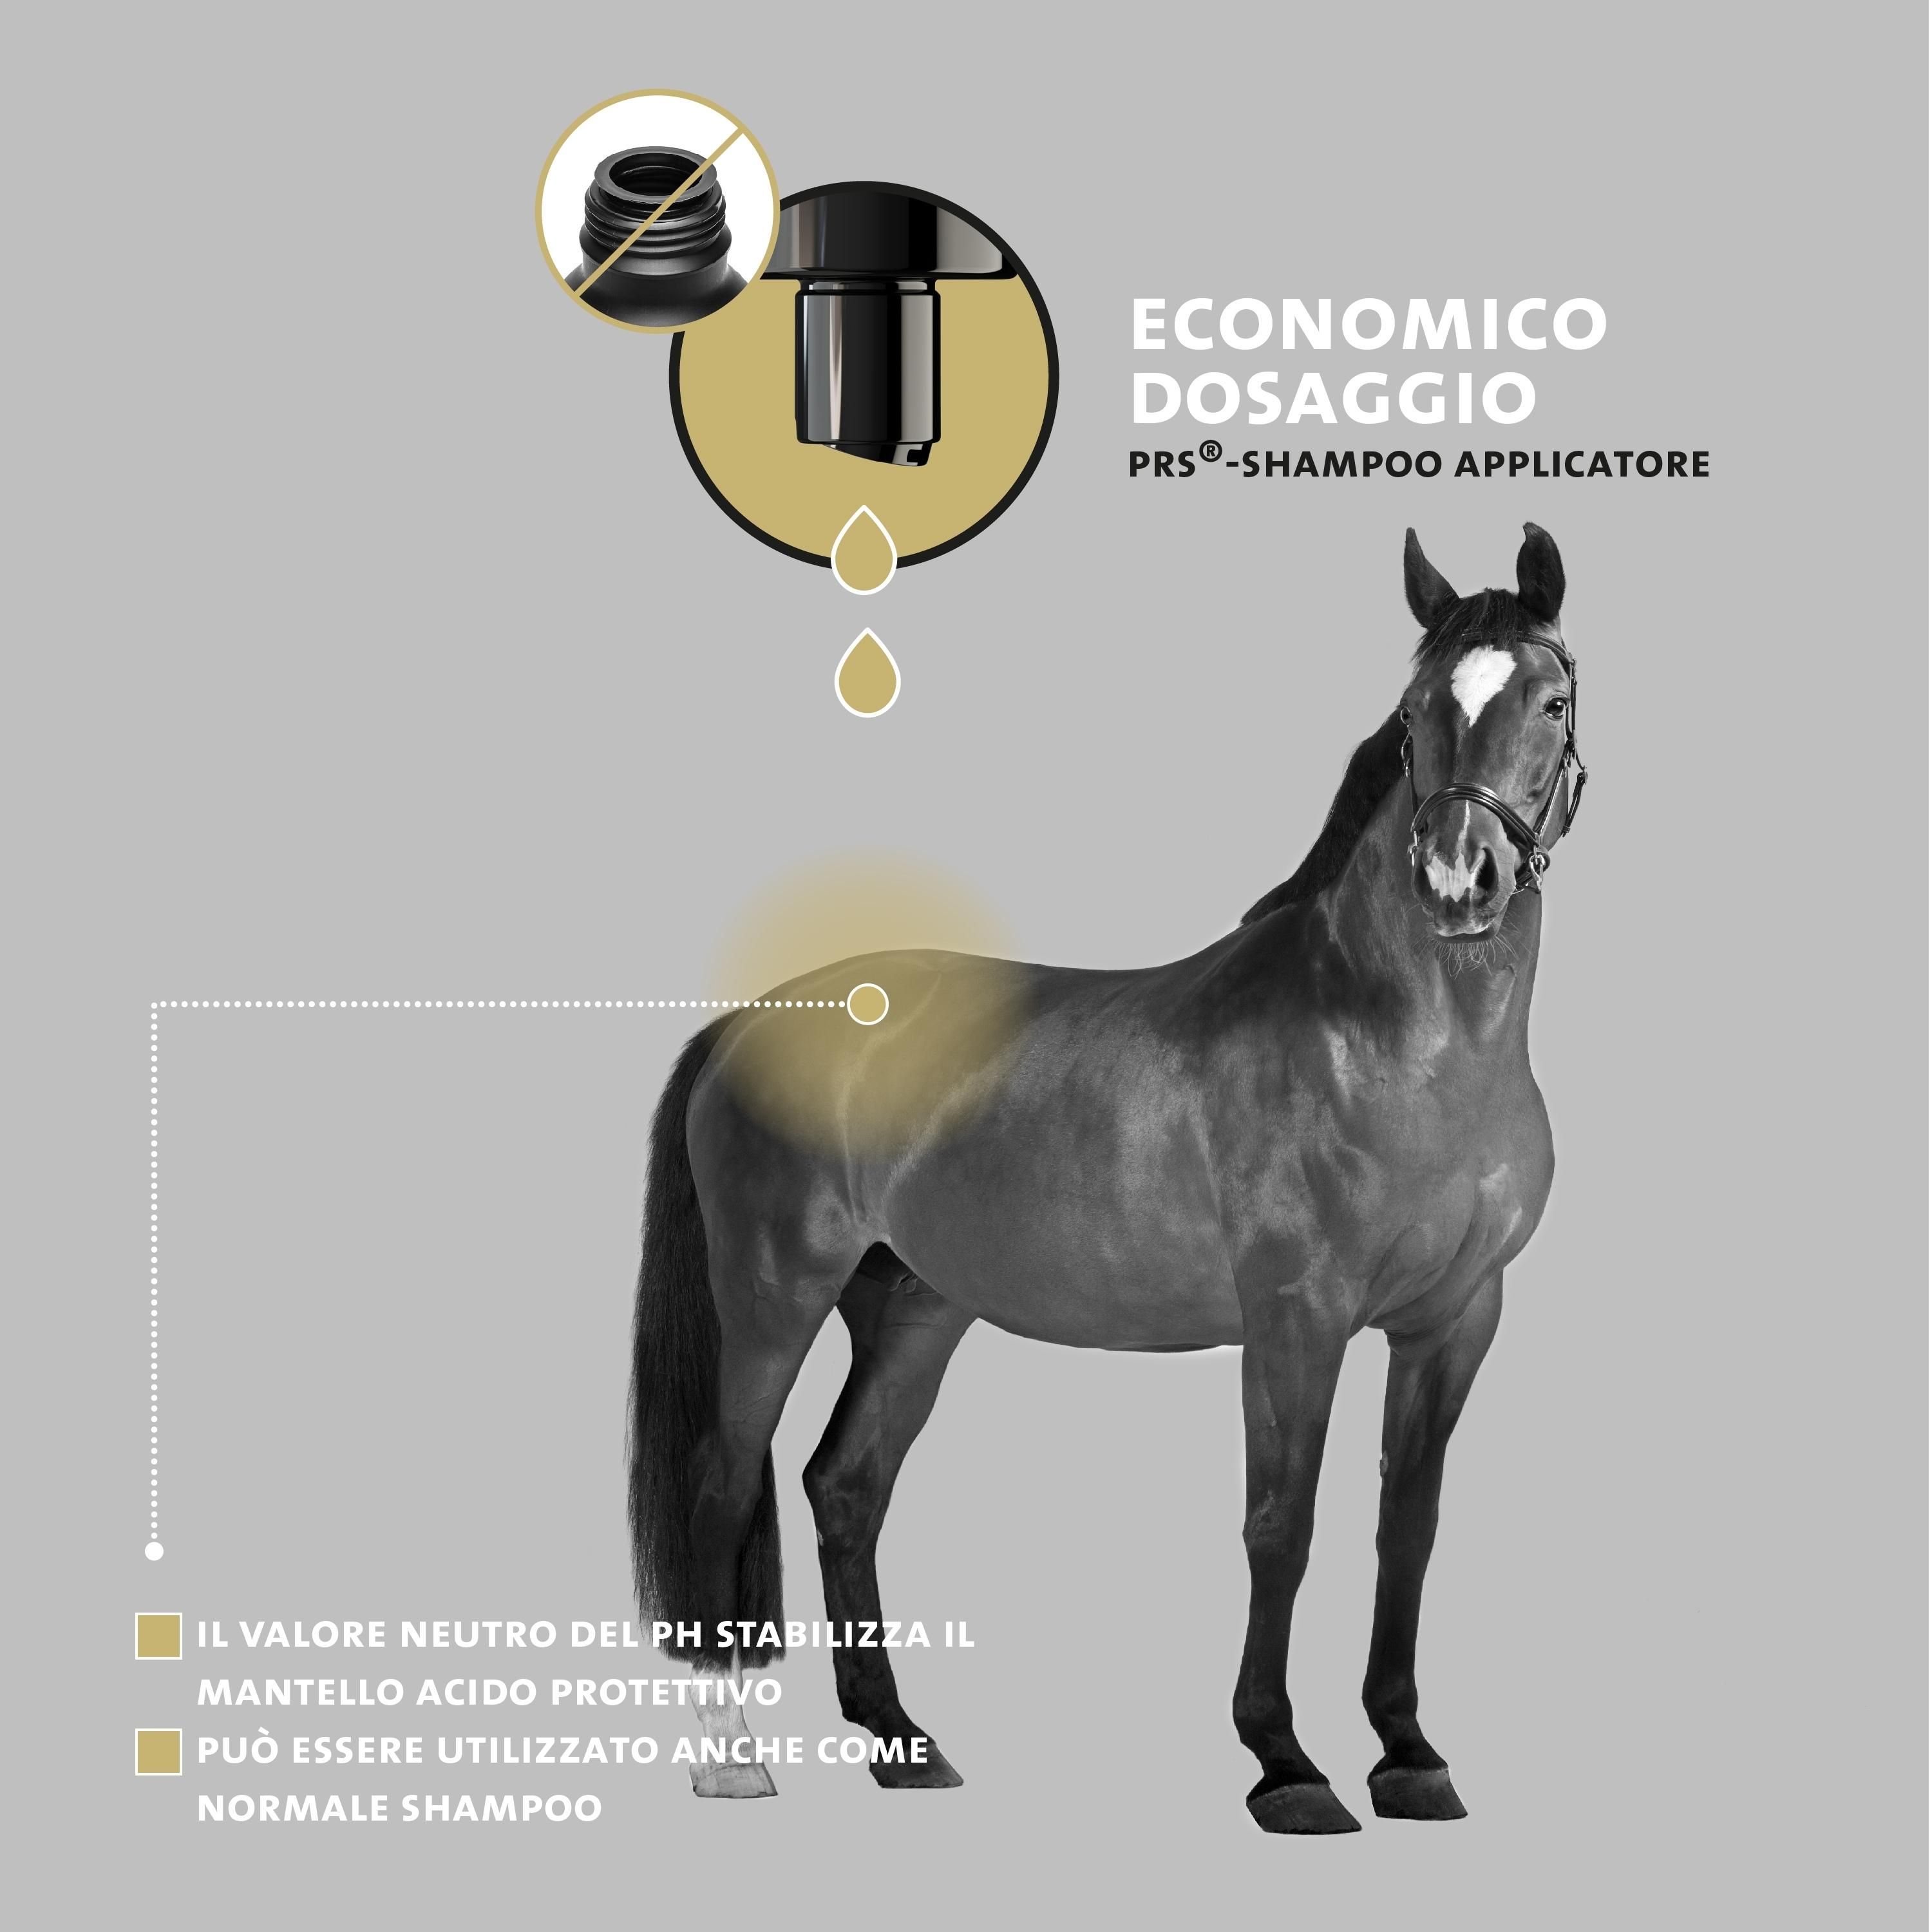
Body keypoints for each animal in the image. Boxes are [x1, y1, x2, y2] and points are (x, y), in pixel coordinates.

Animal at [628, 523, 1587, 1833]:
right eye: (1413, 711)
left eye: (1553, 699)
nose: (1458, 878)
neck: (1397, 1038)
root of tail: (751, 1020)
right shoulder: (1295, 1319)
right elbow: (1281, 1523)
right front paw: (1285, 1765)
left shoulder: (1456, 1320)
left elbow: (1411, 1527)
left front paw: (1408, 1754)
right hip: (774, 1295)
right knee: (726, 1486)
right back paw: (732, 1758)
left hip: (916, 1306)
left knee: (845, 1485)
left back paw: (901, 1741)